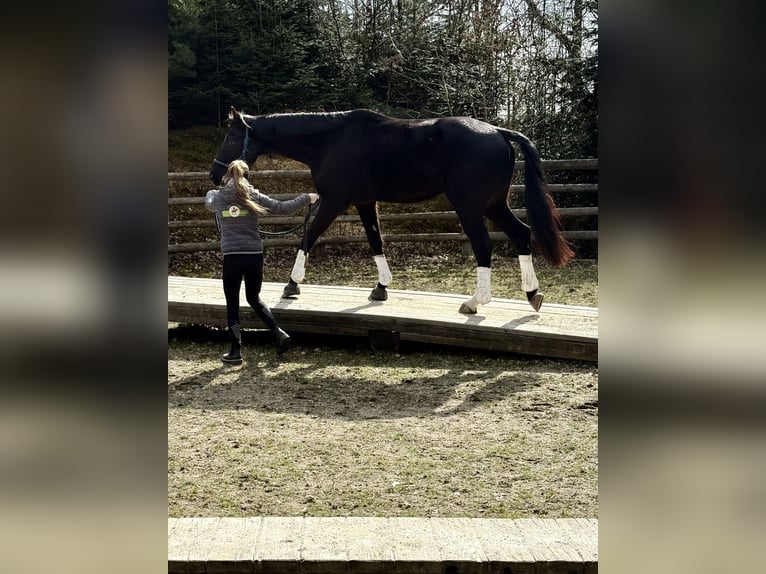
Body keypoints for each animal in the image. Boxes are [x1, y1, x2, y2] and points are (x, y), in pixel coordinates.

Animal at [210, 107, 574, 314]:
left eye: (231, 139)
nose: (215, 174)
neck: (330, 141)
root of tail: (499, 131)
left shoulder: (334, 200)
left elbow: (309, 236)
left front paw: (292, 284)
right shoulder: (364, 202)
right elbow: (376, 242)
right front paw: (381, 288)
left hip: (470, 207)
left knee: (484, 246)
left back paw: (474, 303)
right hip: (495, 205)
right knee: (522, 235)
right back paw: (532, 294)